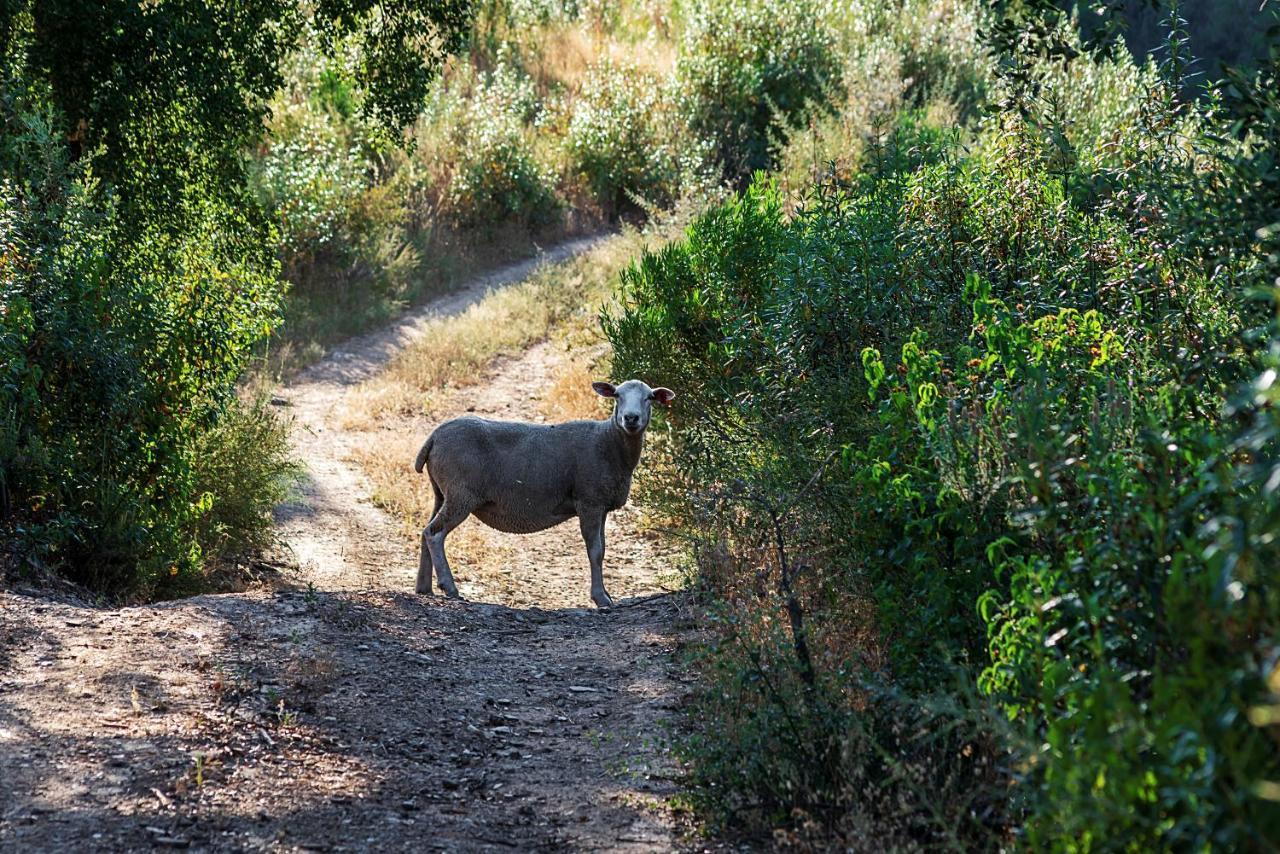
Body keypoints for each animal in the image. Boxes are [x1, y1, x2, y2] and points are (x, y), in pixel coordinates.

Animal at [412, 378, 675, 606]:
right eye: (618, 396)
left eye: (649, 397)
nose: (631, 418)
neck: (610, 441)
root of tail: (433, 438)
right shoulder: (589, 501)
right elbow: (595, 551)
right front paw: (601, 598)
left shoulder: (601, 506)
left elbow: (602, 549)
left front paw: (606, 595)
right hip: (461, 494)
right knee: (435, 534)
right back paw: (449, 587)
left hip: (442, 492)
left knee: (426, 531)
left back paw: (424, 588)